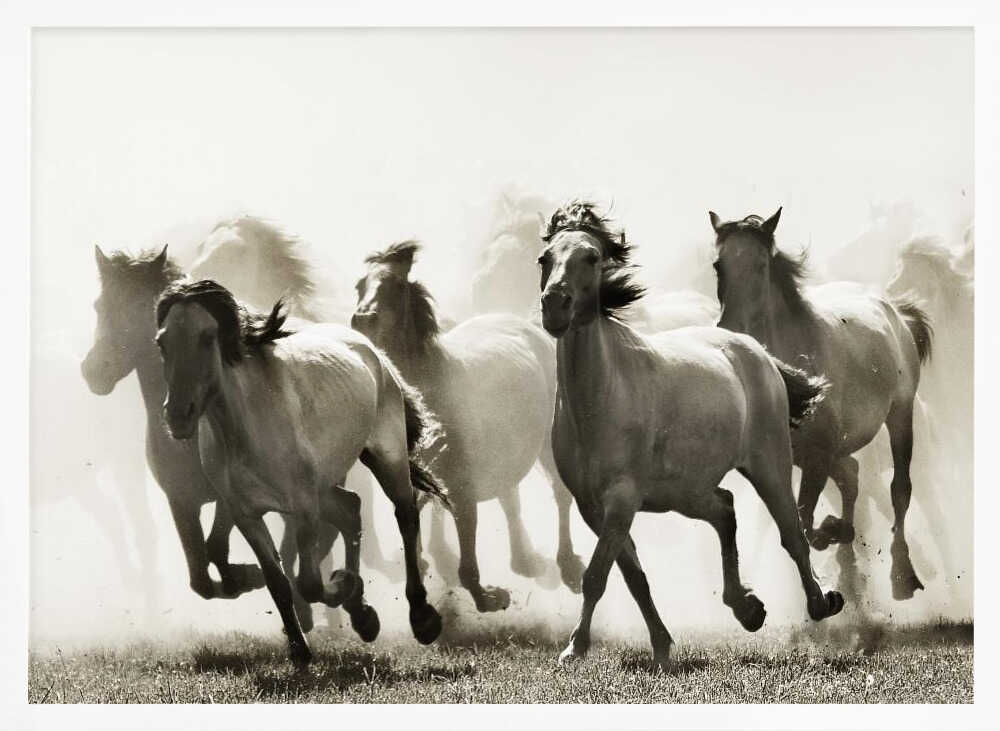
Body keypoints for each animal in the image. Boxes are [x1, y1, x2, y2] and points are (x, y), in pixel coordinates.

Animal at [155, 279, 446, 663]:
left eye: (207, 337)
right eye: (162, 342)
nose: (177, 416)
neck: (247, 428)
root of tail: (372, 350)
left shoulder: (304, 506)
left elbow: (307, 582)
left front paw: (342, 585)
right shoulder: (245, 514)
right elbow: (278, 581)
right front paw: (300, 649)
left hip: (387, 457)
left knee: (406, 516)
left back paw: (422, 618)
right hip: (326, 484)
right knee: (351, 508)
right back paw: (363, 617)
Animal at [351, 241, 586, 612]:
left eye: (395, 287)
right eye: (360, 286)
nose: (361, 320)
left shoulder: (462, 485)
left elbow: (466, 549)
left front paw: (487, 596)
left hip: (547, 445)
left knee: (560, 495)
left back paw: (567, 566)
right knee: (509, 497)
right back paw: (525, 561)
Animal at [538, 201, 843, 672]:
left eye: (590, 257)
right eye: (544, 259)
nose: (555, 305)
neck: (601, 398)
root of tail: (755, 349)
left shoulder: (621, 501)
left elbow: (595, 577)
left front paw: (575, 647)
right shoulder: (594, 508)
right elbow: (634, 577)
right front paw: (662, 646)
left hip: (768, 465)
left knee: (792, 533)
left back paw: (821, 602)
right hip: (686, 492)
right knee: (726, 509)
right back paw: (747, 608)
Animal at [709, 208, 933, 602]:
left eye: (761, 265)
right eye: (719, 266)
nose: (731, 329)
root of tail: (895, 312)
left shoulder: (818, 456)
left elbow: (805, 521)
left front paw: (832, 534)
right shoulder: (795, 458)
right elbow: (804, 520)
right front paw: (837, 537)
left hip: (900, 415)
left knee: (899, 489)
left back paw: (901, 575)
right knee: (852, 476)